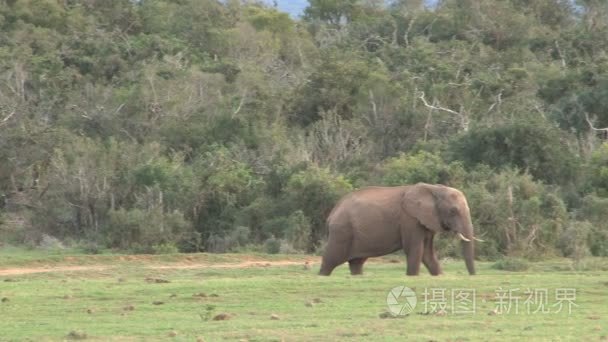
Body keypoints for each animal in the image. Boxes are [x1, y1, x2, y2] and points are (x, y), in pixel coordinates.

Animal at [318, 183, 480, 276]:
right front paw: (412, 276)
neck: (435, 189)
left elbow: (427, 253)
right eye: (453, 211)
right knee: (331, 259)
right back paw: (322, 275)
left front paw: (439, 276)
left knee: (356, 263)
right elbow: (415, 249)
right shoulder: (409, 219)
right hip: (342, 231)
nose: (472, 276)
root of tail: (332, 214)